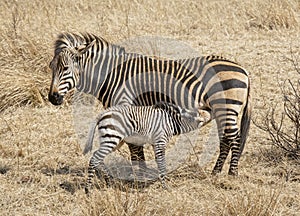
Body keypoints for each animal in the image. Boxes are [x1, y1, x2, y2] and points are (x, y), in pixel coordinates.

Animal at [48, 32, 251, 177]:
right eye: (51, 67)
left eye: (65, 68)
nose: (52, 98)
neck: (112, 75)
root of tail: (243, 69)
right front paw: (142, 170)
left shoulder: (126, 104)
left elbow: (133, 144)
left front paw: (139, 171)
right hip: (221, 110)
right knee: (226, 139)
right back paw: (217, 171)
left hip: (227, 107)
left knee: (233, 137)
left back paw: (231, 173)